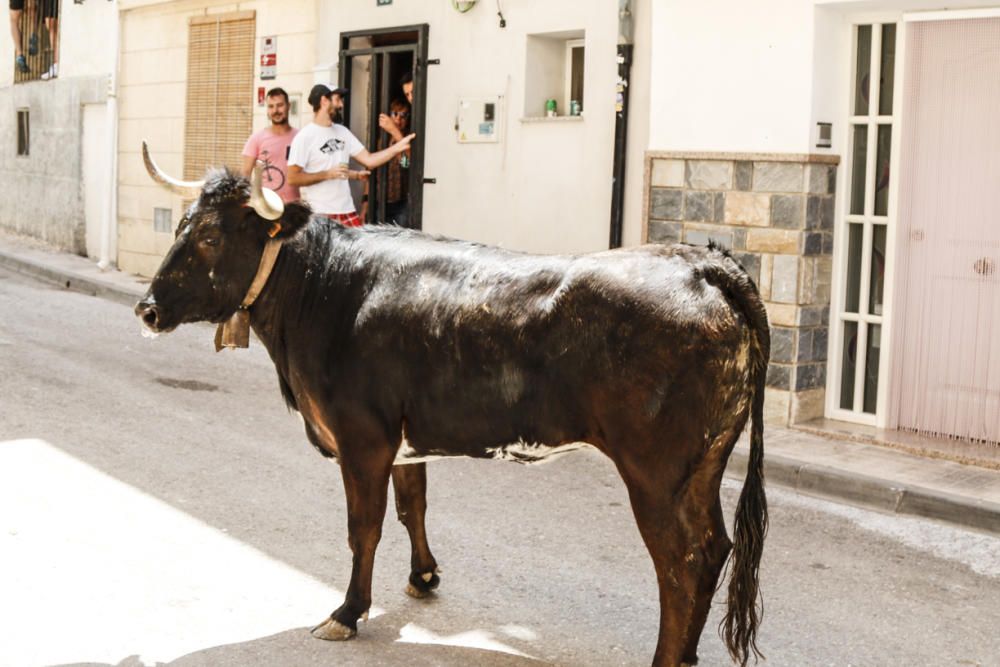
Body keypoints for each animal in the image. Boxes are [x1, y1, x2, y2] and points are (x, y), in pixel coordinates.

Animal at [133, 162, 768, 667]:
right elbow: (412, 506)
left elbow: (363, 527)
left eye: (210, 236)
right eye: (182, 226)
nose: (147, 309)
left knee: (682, 562)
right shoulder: (403, 440)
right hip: (704, 464)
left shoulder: (362, 439)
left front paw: (348, 612)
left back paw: (667, 658)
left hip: (655, 473)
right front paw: (423, 577)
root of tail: (702, 263)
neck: (323, 288)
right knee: (713, 549)